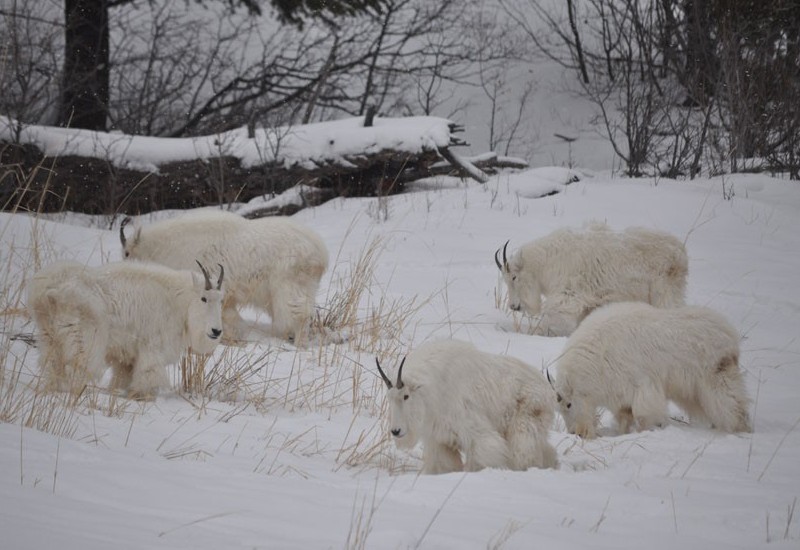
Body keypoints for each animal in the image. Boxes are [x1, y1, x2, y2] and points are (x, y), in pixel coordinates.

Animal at [27, 260, 223, 398]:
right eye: (204, 298)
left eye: (221, 299)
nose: (216, 331)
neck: (178, 301)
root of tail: (49, 292)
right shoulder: (152, 346)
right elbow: (148, 373)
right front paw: (143, 396)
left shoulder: (127, 355)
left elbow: (123, 375)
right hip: (83, 337)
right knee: (78, 365)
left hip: (49, 335)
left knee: (52, 364)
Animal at [120, 211, 326, 344]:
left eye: (127, 252)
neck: (162, 248)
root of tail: (319, 251)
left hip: (290, 286)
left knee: (300, 314)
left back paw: (299, 344)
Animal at [378, 340, 560, 474]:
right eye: (389, 397)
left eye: (406, 396)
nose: (396, 431)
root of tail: (549, 391)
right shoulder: (440, 440)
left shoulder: (474, 431)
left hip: (525, 420)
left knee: (524, 451)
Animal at [494, 223, 688, 336]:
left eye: (514, 277)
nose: (514, 306)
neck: (545, 263)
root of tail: (680, 254)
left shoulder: (568, 295)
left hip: (663, 292)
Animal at [552, 302, 752, 440]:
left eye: (568, 404)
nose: (575, 432)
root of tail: (730, 335)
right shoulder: (620, 393)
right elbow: (624, 417)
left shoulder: (642, 387)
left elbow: (642, 415)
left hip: (717, 378)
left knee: (733, 405)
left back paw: (740, 429)